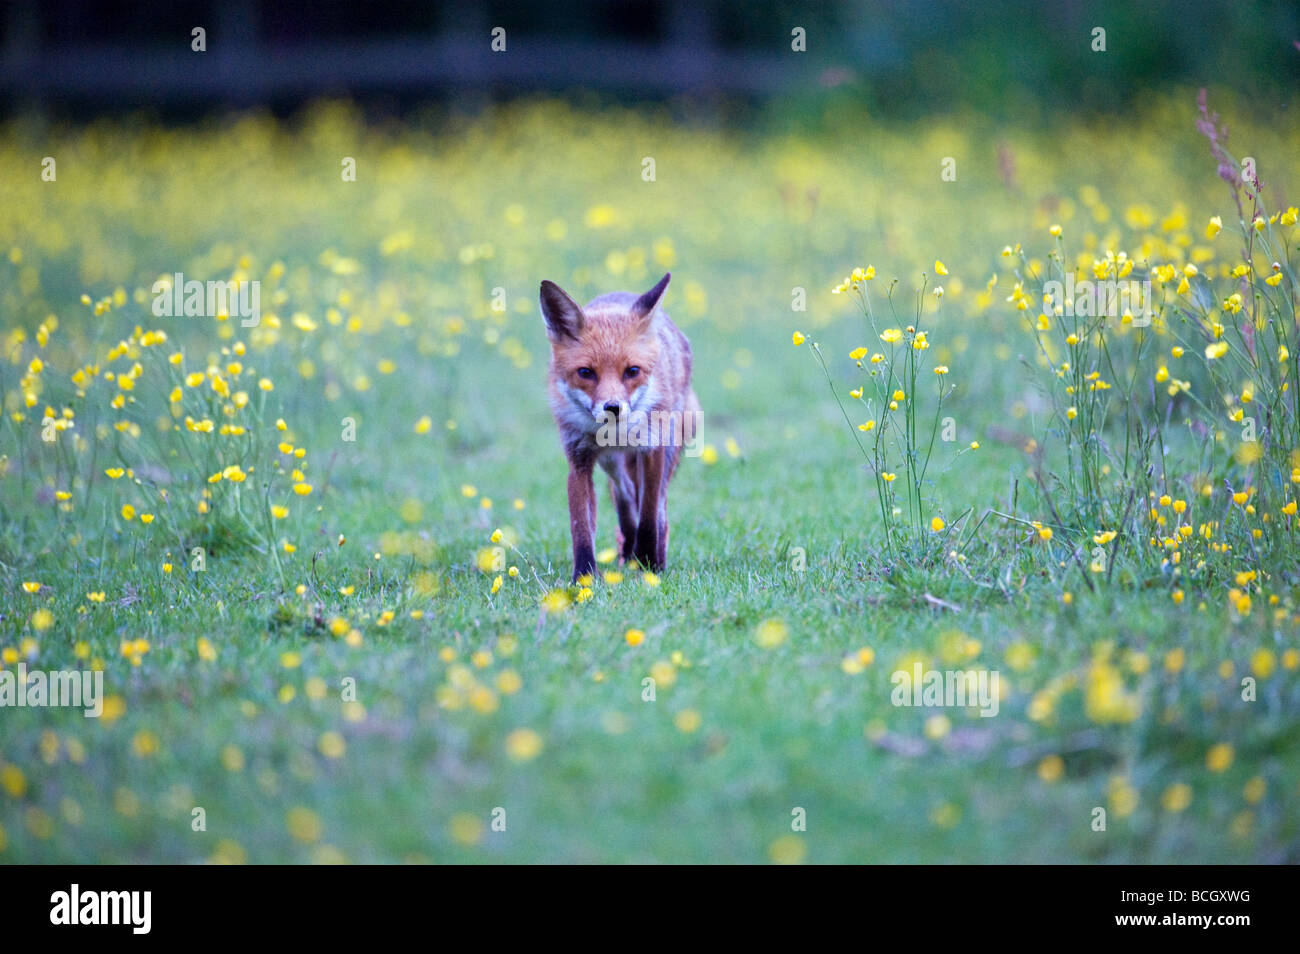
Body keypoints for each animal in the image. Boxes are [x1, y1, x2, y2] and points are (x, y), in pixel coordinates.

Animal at [538, 270, 702, 582]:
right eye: (585, 373)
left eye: (632, 371)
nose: (613, 408)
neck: (616, 434)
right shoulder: (579, 460)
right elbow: (581, 525)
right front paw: (584, 576)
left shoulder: (653, 450)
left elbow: (649, 514)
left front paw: (649, 563)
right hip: (611, 464)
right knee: (624, 496)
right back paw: (627, 549)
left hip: (670, 448)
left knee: (658, 508)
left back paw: (651, 554)